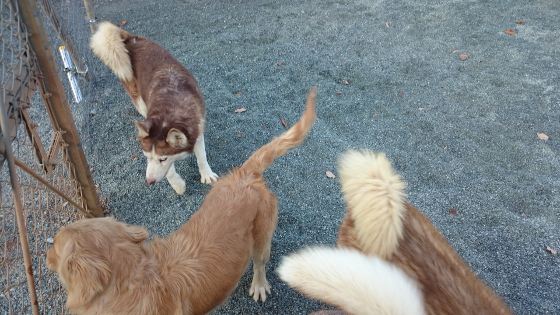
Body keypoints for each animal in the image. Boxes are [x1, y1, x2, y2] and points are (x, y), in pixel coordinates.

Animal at [47, 87, 320, 314]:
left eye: (57, 247)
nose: (46, 256)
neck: (132, 275)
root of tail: (245, 174)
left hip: (262, 237)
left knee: (260, 263)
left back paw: (259, 285)